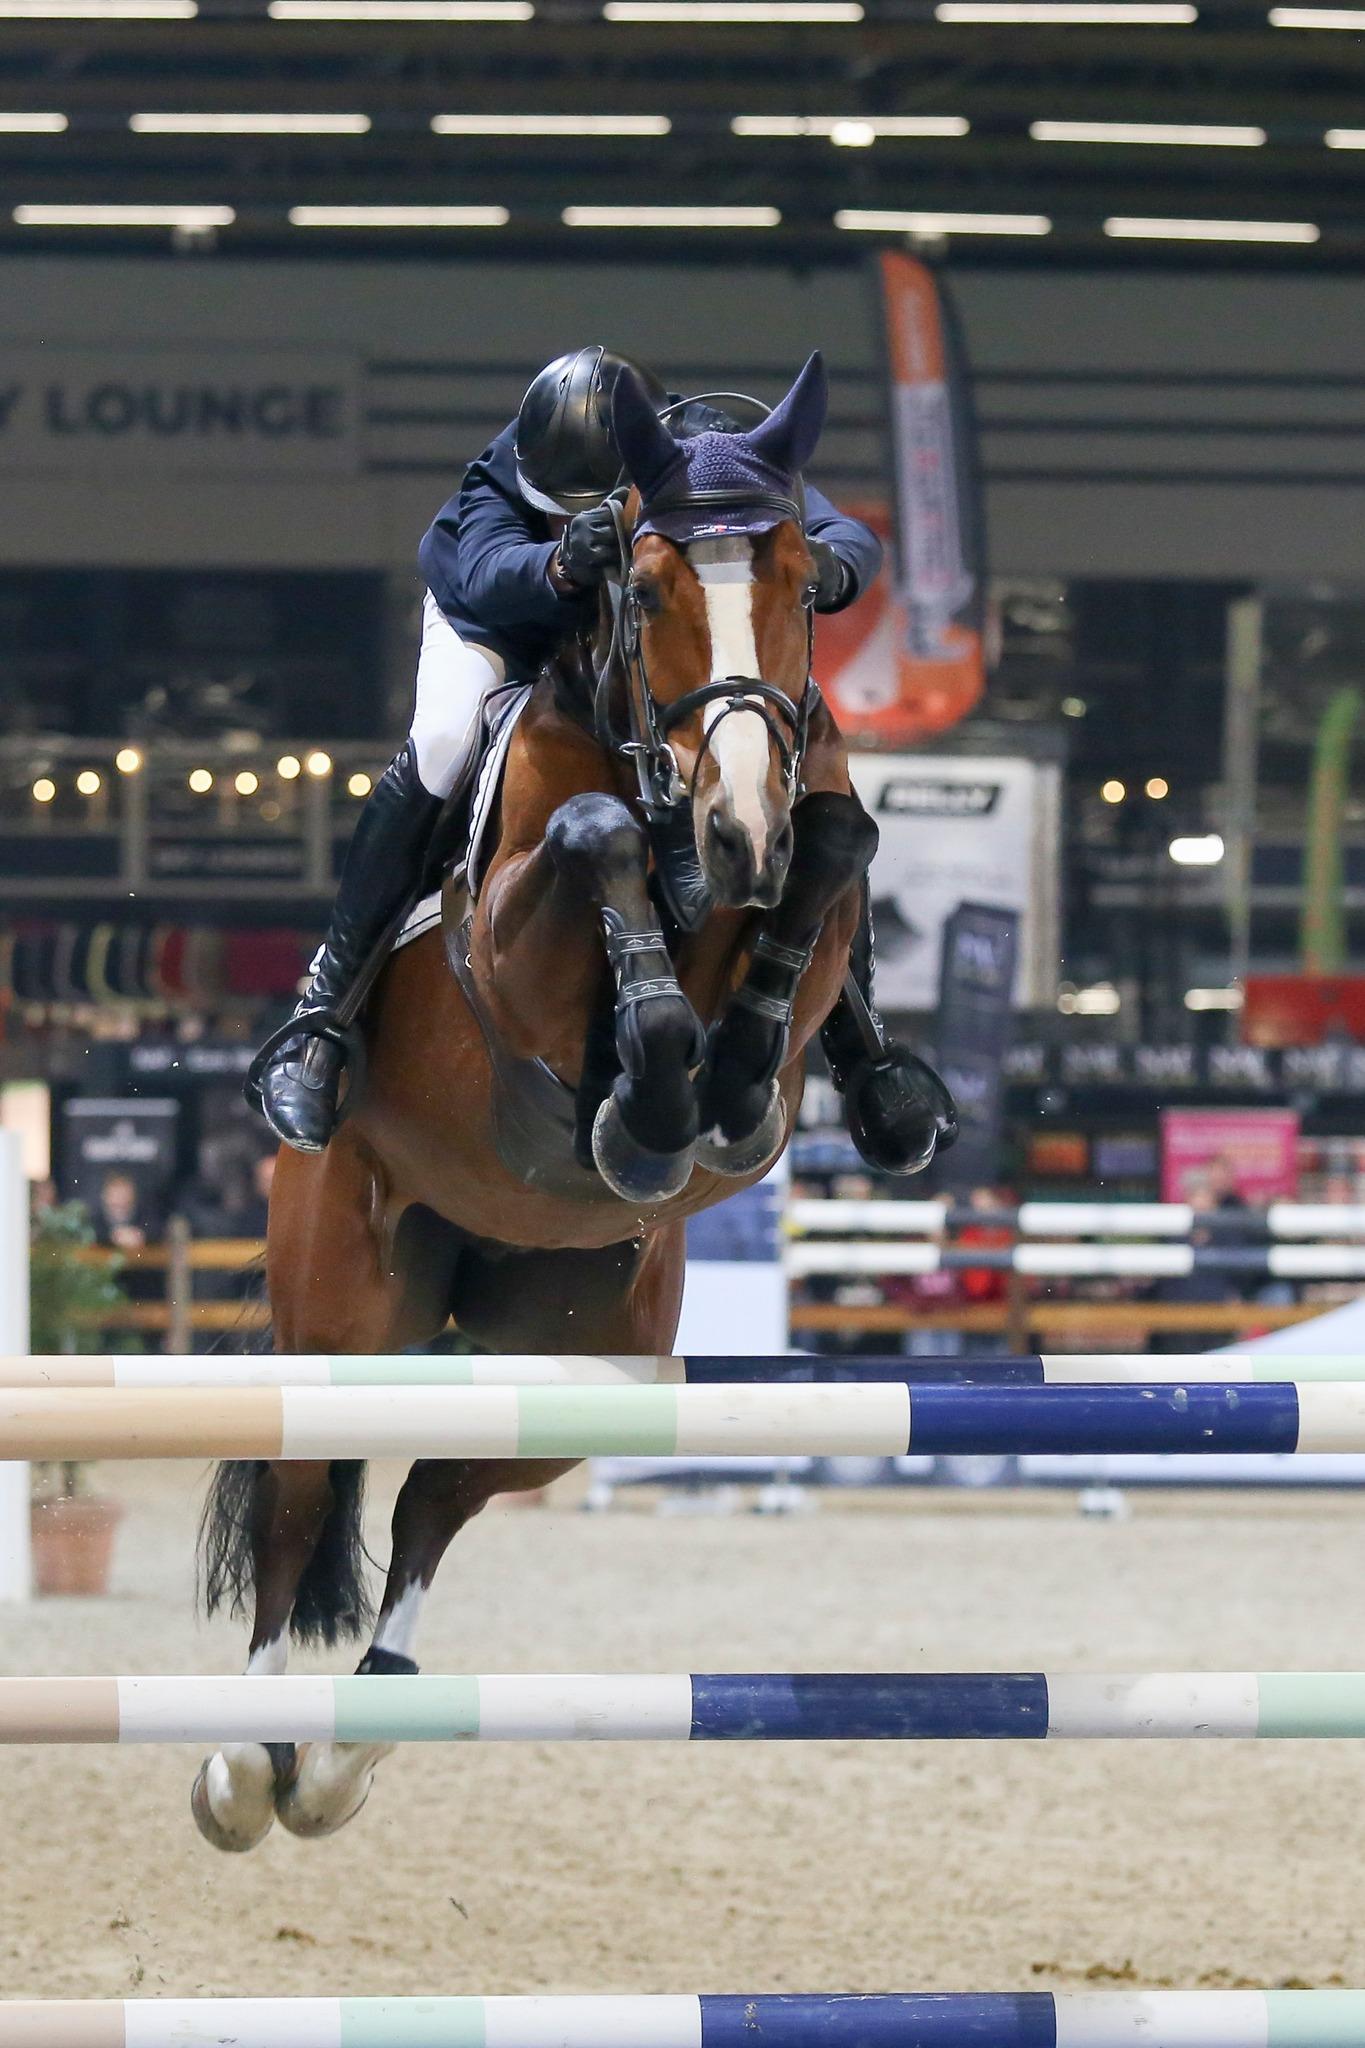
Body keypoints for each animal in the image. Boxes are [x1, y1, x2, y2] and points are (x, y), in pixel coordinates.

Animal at [194, 353, 897, 1853]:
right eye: (646, 580)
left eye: (803, 578)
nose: (736, 831)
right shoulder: (509, 954)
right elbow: (595, 837)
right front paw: (651, 1082)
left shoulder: (806, 856)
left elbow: (835, 845)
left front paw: (708, 1092)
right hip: (343, 1302)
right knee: (301, 1493)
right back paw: (248, 1758)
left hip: (580, 1353)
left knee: (441, 1492)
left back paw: (350, 1745)